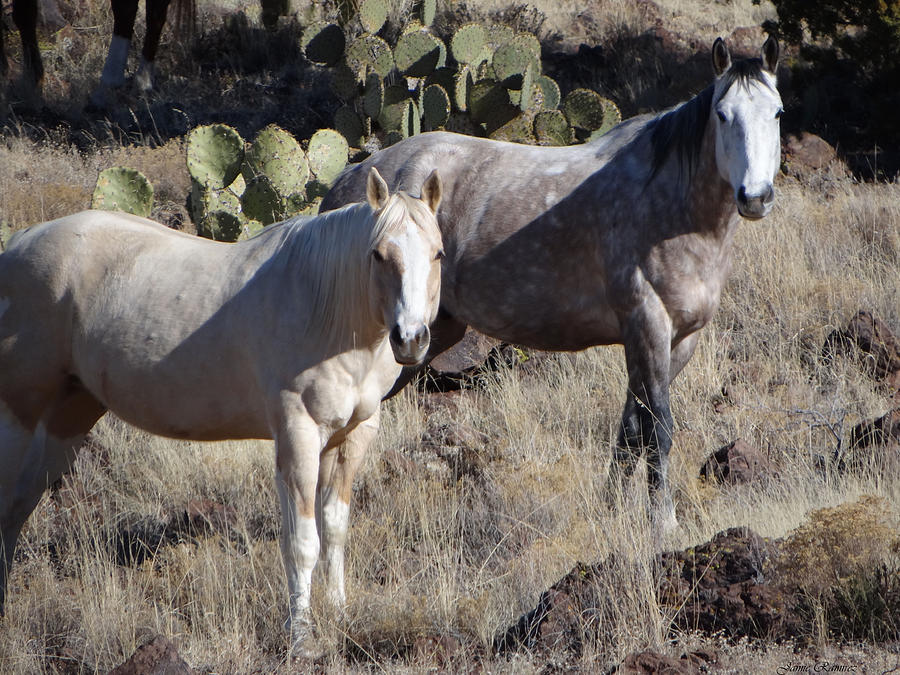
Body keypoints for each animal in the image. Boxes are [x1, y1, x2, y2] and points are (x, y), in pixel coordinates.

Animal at [0, 167, 445, 651]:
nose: (411, 339)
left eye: (438, 254)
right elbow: (302, 541)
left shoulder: (352, 438)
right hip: (18, 413)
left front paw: (340, 613)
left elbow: (334, 530)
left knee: (17, 507)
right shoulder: (298, 435)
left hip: (70, 416)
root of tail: (18, 244)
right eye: (378, 255)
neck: (325, 306)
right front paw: (302, 638)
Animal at [322, 37, 783, 537]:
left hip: (426, 334)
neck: (670, 206)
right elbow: (658, 428)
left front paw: (613, 508)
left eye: (777, 113)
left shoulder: (679, 340)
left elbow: (630, 430)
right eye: (723, 114)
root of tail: (348, 179)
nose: (755, 196)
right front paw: (664, 522)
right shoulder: (648, 327)